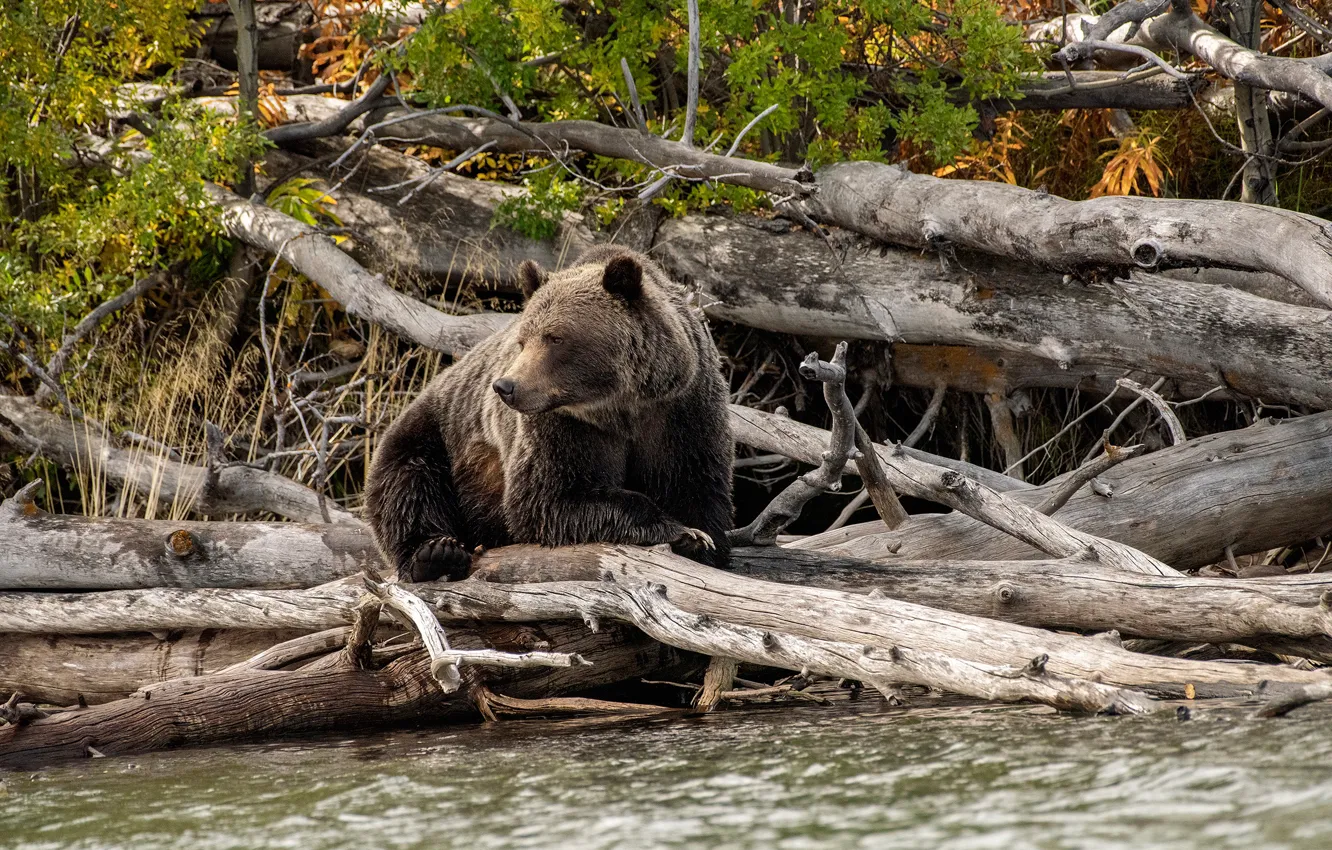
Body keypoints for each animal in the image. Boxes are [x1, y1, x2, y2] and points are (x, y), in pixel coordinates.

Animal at [364, 242, 735, 583]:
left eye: (555, 337)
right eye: (522, 339)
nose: (506, 386)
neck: (621, 405)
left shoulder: (681, 411)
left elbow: (696, 483)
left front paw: (701, 540)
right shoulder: (562, 425)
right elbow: (549, 498)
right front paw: (682, 532)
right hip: (439, 430)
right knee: (407, 481)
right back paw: (435, 553)